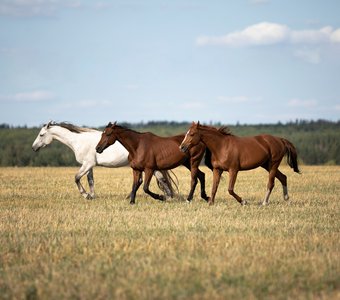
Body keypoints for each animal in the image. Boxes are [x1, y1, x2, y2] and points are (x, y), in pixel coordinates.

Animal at [31, 120, 174, 200]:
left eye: (41, 134)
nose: (34, 147)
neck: (78, 141)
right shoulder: (89, 166)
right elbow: (90, 181)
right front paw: (92, 196)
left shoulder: (87, 164)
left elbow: (76, 178)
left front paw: (86, 195)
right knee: (161, 179)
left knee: (162, 179)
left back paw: (166, 197)